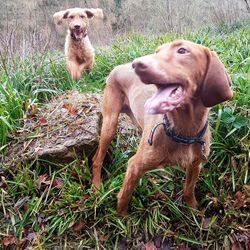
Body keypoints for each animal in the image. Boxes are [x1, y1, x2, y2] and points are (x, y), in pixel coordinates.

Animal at [91, 39, 232, 215]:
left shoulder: (195, 164)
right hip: (109, 125)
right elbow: (124, 196)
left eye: (182, 50)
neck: (183, 132)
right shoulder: (134, 166)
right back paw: (96, 188)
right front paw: (122, 216)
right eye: (156, 52)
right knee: (97, 158)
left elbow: (188, 191)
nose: (136, 64)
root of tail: (118, 66)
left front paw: (195, 213)